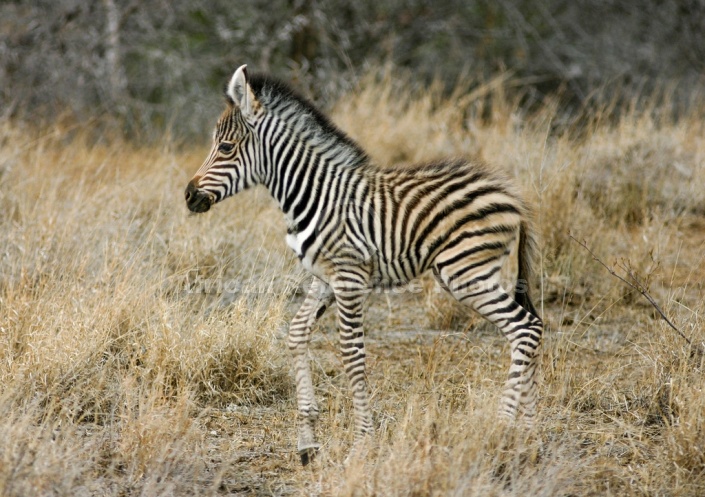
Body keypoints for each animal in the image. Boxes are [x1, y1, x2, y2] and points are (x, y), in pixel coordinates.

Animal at [184, 64, 540, 464]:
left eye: (226, 148)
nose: (189, 195)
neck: (314, 194)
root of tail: (513, 196)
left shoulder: (350, 277)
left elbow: (352, 356)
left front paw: (361, 445)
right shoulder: (323, 278)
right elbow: (296, 334)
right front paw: (307, 442)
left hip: (466, 272)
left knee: (525, 328)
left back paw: (502, 429)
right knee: (530, 329)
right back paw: (529, 437)